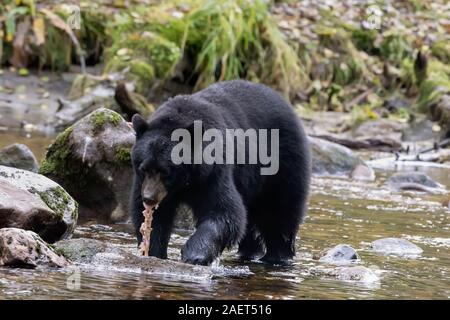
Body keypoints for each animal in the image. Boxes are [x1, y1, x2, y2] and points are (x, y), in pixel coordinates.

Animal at [131, 80, 310, 264]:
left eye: (165, 171)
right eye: (143, 169)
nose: (149, 198)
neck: (187, 181)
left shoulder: (213, 172)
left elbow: (224, 210)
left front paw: (194, 254)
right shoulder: (146, 183)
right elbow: (154, 216)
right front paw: (153, 250)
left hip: (283, 162)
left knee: (280, 211)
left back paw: (277, 256)